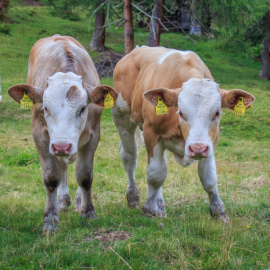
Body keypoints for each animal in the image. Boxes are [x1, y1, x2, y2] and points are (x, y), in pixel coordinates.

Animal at [8, 34, 117, 234]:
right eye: (45, 108)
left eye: (82, 109)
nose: (62, 146)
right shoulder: (41, 136)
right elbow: (52, 177)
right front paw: (50, 218)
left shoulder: (93, 135)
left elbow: (85, 175)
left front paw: (88, 212)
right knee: (63, 166)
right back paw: (62, 199)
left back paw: (77, 200)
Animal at [112, 46, 255, 221]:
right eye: (180, 112)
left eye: (217, 113)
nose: (198, 148)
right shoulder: (152, 133)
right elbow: (155, 175)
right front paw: (150, 209)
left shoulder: (211, 142)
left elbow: (209, 178)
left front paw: (218, 211)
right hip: (122, 118)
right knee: (130, 157)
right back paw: (133, 196)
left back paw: (160, 204)